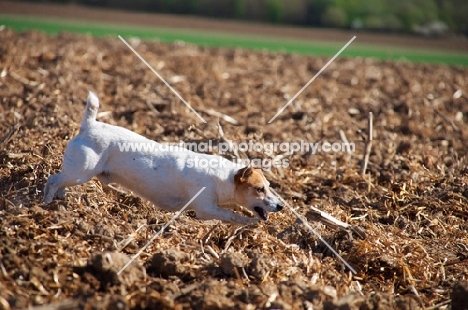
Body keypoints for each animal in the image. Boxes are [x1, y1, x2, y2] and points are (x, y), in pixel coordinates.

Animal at [44, 92, 284, 225]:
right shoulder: (205, 209)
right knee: (53, 180)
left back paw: (60, 201)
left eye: (269, 186)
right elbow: (232, 214)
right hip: (81, 172)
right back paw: (45, 203)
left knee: (61, 182)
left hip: (78, 174)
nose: (281, 206)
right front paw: (249, 223)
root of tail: (89, 125)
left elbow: (232, 212)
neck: (221, 178)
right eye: (260, 189)